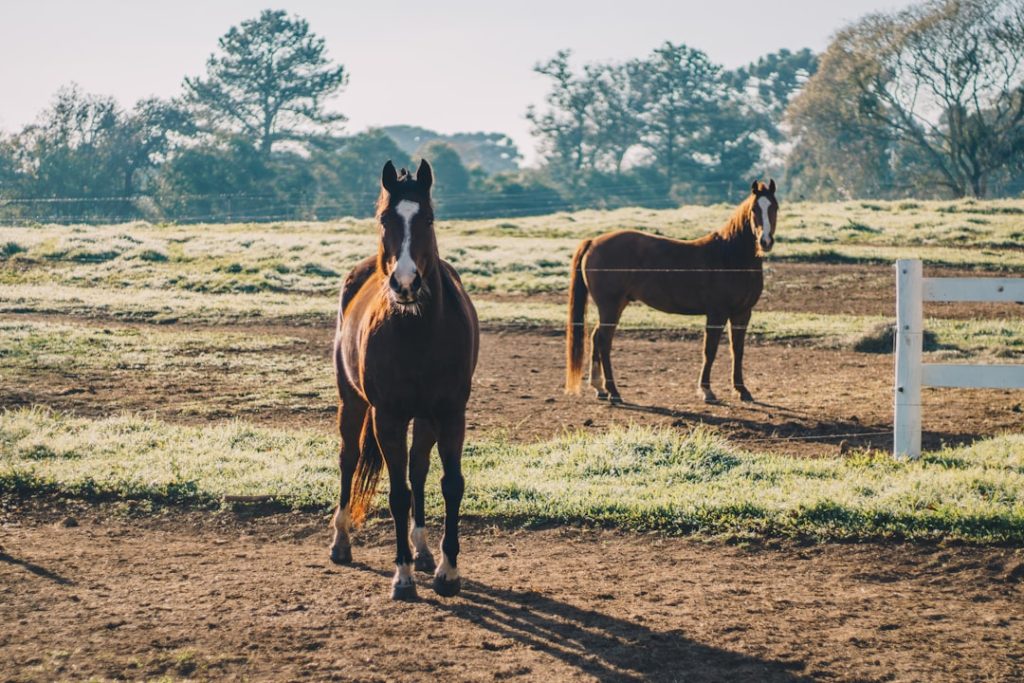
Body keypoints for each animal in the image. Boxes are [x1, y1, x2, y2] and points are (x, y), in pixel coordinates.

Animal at [329, 159, 480, 601]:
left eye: (427, 218)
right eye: (385, 219)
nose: (406, 283)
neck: (418, 333)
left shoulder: (450, 414)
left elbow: (450, 484)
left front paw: (447, 571)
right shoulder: (388, 417)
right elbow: (398, 494)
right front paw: (403, 576)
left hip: (425, 418)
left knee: (419, 469)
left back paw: (424, 550)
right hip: (352, 402)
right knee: (348, 458)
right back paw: (341, 541)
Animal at [565, 180, 778, 405]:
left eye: (774, 207)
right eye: (754, 209)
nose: (765, 241)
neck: (730, 257)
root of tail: (593, 242)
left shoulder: (742, 313)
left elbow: (737, 350)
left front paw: (742, 390)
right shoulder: (717, 313)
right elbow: (709, 350)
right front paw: (706, 391)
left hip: (616, 306)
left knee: (596, 337)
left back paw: (599, 388)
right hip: (610, 306)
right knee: (604, 341)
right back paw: (613, 391)